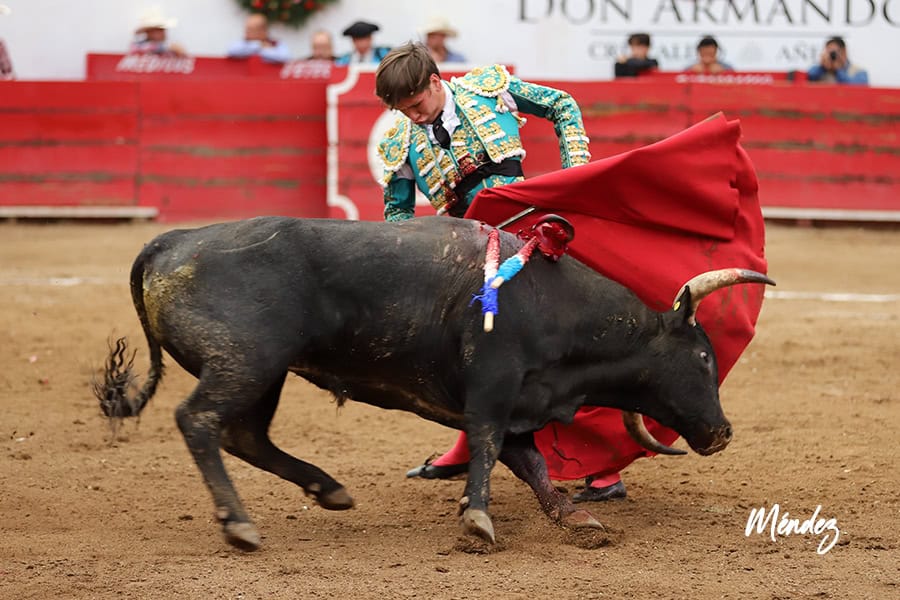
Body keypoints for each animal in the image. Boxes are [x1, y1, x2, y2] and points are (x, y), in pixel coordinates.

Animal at [95, 216, 774, 551]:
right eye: (705, 358)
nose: (722, 432)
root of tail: (172, 241)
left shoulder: (520, 399)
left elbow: (530, 462)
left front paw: (572, 518)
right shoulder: (495, 385)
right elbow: (489, 447)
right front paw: (477, 522)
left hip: (265, 374)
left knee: (245, 436)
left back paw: (329, 490)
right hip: (246, 361)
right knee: (200, 422)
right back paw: (239, 525)